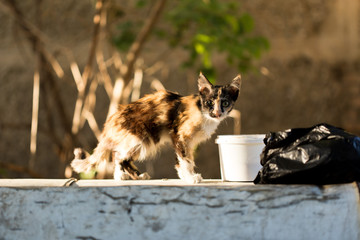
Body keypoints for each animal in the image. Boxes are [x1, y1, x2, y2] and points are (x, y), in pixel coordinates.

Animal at [70, 72, 242, 183]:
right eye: (209, 102)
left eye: (225, 102)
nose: (218, 113)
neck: (202, 112)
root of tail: (110, 122)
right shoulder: (179, 135)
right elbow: (185, 159)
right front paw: (190, 177)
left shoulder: (184, 140)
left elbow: (184, 158)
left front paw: (186, 176)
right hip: (141, 137)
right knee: (121, 157)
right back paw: (137, 176)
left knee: (118, 154)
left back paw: (121, 177)